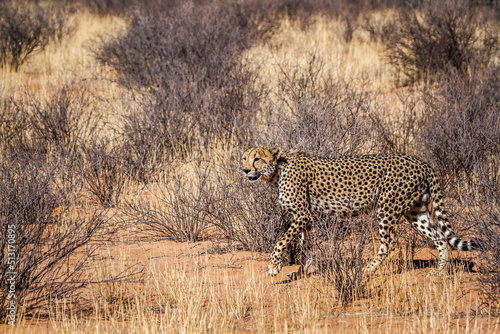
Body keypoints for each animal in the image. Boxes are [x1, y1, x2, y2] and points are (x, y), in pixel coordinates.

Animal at [242, 145, 480, 278]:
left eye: (257, 159)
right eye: (244, 158)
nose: (244, 170)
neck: (277, 171)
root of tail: (420, 161)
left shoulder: (302, 215)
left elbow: (281, 241)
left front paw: (274, 267)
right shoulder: (306, 218)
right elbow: (306, 246)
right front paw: (301, 271)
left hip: (387, 208)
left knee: (390, 242)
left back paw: (368, 269)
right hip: (415, 211)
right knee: (440, 238)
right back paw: (440, 271)